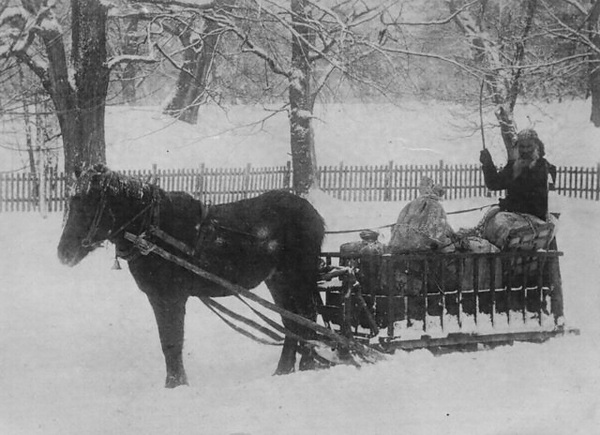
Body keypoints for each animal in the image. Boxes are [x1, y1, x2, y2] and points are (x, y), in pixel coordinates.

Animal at [57, 164, 326, 388]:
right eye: (72, 201)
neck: (152, 228)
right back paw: (284, 370)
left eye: (89, 203)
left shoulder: (170, 297)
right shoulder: (160, 297)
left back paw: (307, 365)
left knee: (306, 318)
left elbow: (172, 340)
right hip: (279, 281)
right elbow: (168, 340)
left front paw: (175, 384)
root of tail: (313, 214)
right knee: (293, 323)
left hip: (297, 277)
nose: (63, 253)